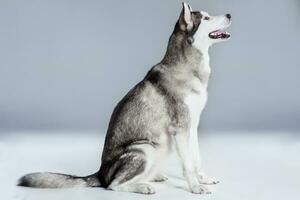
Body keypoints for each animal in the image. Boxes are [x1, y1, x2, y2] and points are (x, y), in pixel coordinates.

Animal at [17, 2, 232, 195]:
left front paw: (203, 179)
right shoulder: (180, 128)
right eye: (206, 18)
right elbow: (188, 164)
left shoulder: (192, 126)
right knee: (113, 185)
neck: (187, 68)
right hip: (145, 148)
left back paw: (153, 176)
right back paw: (143, 187)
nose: (230, 14)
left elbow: (196, 159)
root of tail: (100, 173)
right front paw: (195, 187)